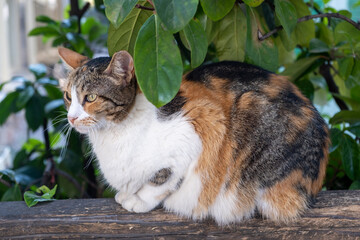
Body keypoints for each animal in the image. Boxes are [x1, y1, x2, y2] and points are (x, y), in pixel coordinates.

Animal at [58, 47, 330, 225]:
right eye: (68, 97)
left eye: (91, 98)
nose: (72, 118)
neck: (113, 134)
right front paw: (127, 194)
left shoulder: (201, 126)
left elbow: (162, 180)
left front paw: (139, 200)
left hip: (252, 112)